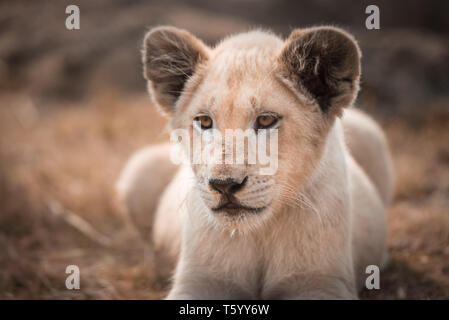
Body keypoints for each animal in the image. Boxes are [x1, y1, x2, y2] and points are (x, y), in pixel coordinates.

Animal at [115, 26, 392, 298]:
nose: (224, 185)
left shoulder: (320, 281)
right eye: (204, 121)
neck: (259, 233)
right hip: (139, 167)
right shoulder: (200, 281)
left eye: (266, 120)